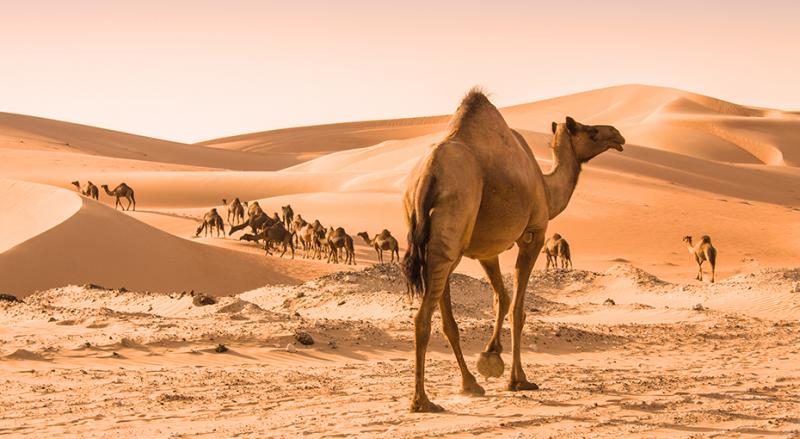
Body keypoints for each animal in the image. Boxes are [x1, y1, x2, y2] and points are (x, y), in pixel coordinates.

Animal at [400, 89, 624, 412]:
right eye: (590, 130)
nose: (617, 134)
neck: (547, 188)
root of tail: (428, 175)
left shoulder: (485, 251)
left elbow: (501, 299)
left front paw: (490, 356)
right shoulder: (534, 234)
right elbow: (518, 308)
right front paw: (518, 379)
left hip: (439, 242)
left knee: (445, 318)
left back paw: (469, 384)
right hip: (452, 225)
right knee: (422, 318)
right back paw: (422, 401)